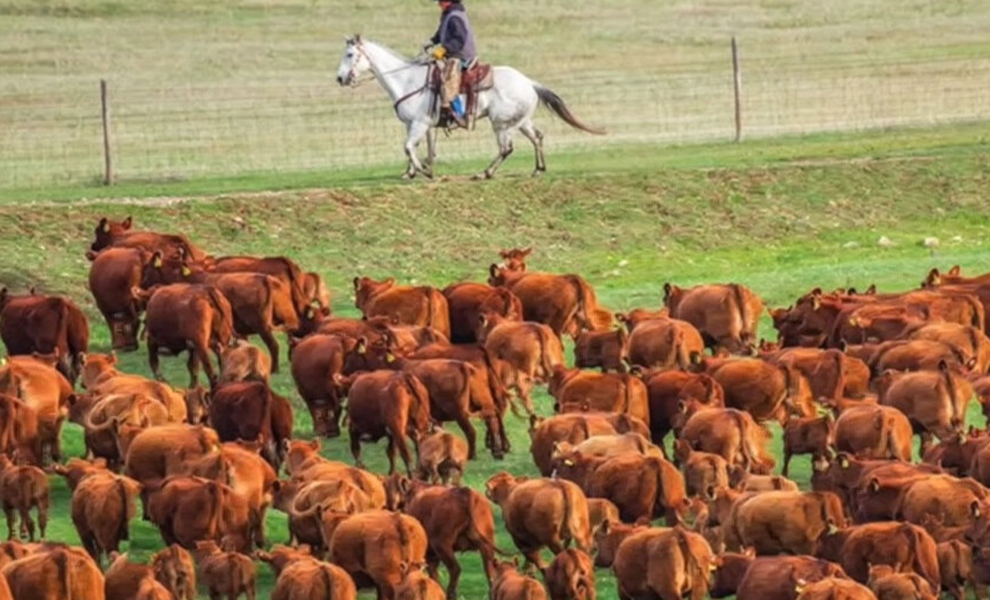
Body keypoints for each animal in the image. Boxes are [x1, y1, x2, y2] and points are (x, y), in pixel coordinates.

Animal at [338, 35, 604, 179]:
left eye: (350, 54)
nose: (340, 79)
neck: (407, 80)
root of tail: (529, 82)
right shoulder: (414, 125)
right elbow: (415, 147)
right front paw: (411, 172)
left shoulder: (421, 123)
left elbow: (408, 147)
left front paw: (424, 170)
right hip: (521, 121)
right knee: (537, 137)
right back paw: (538, 169)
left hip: (501, 124)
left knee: (506, 148)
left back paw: (485, 173)